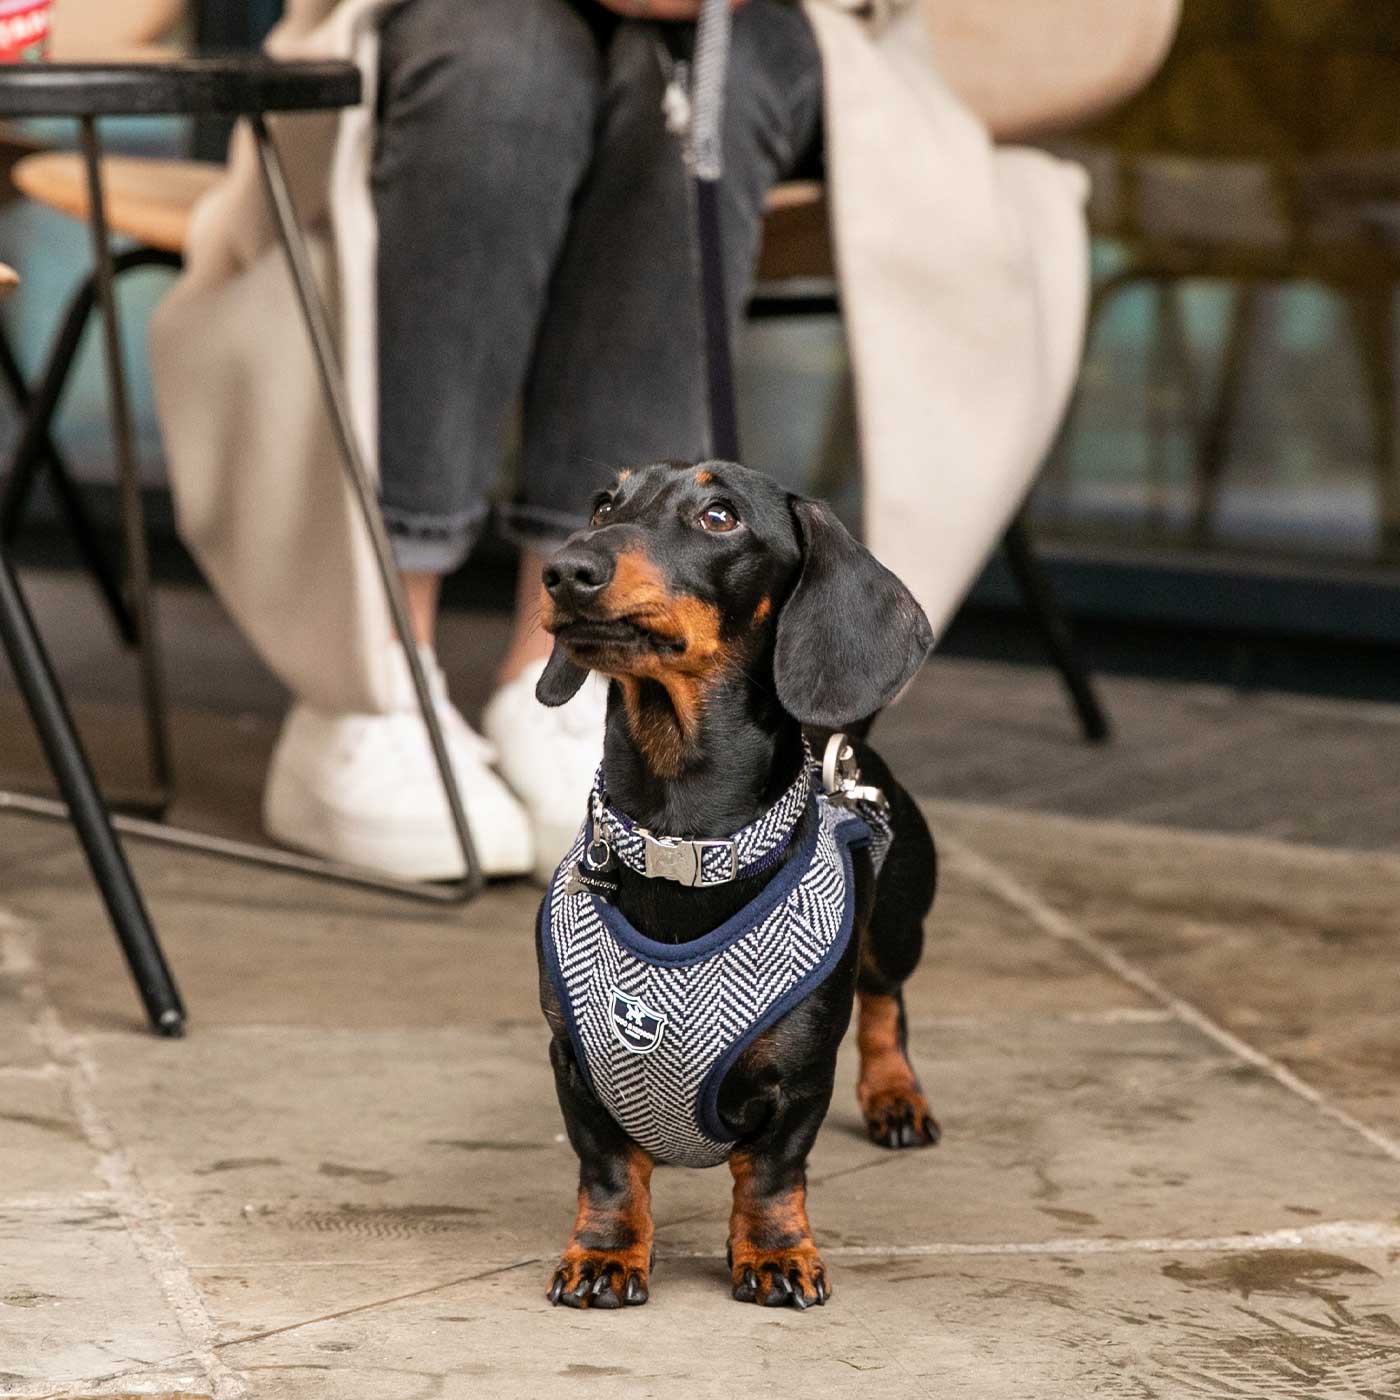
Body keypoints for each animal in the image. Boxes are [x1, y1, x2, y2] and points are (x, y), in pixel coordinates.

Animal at [534, 462, 940, 1310]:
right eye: (604, 503)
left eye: (719, 516)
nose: (564, 570)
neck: (683, 844)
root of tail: (845, 744)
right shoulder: (574, 1064)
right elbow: (610, 1172)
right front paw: (605, 1254)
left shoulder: (800, 1081)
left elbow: (773, 1175)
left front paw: (777, 1252)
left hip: (895, 932)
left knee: (887, 1002)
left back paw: (896, 1095)